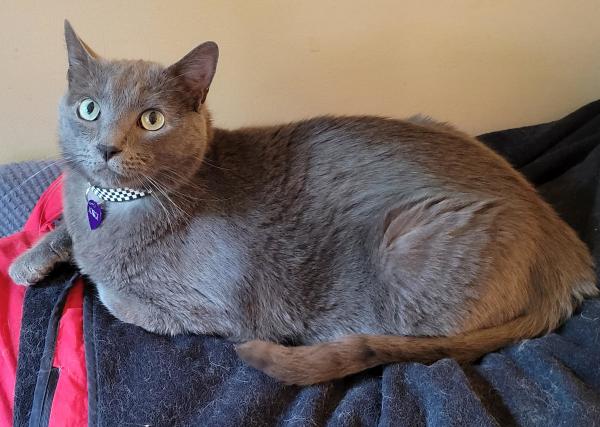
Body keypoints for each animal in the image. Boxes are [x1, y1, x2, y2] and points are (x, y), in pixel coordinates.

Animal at [7, 21, 596, 386]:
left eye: (152, 119)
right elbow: (66, 227)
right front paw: (30, 259)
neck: (113, 205)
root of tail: (569, 258)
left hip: (408, 246)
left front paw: (85, 273)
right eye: (88, 109)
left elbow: (113, 294)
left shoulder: (214, 307)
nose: (106, 147)